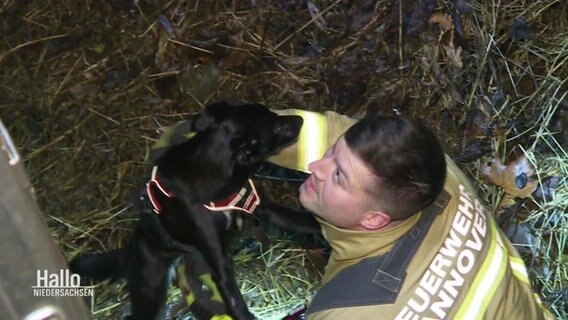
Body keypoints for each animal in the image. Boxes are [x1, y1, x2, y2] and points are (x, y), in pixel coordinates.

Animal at [69, 102, 322, 320]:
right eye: (276, 127)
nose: (300, 119)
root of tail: (135, 245)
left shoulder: (268, 209)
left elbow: (307, 221)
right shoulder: (220, 266)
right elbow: (236, 303)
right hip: (150, 291)